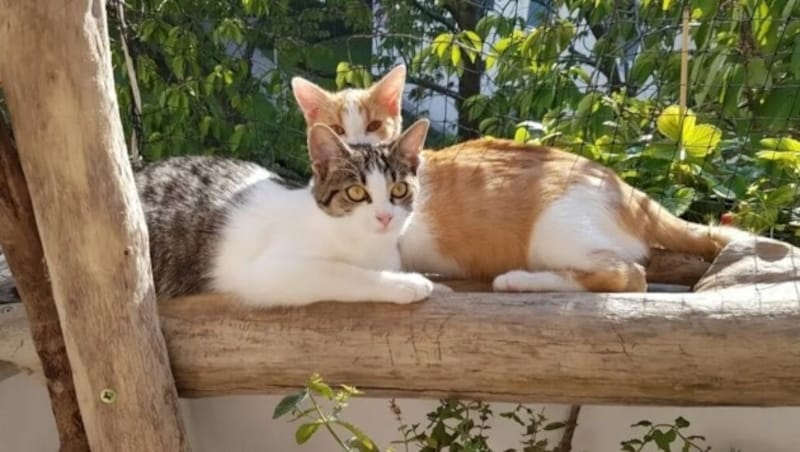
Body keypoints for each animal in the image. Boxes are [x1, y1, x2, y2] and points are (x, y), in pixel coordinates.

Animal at [141, 119, 434, 308]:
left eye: (399, 189)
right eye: (355, 192)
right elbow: (341, 272)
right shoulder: (266, 271)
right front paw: (405, 283)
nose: (385, 217)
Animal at [290, 64, 748, 294]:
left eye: (373, 126)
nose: (354, 146)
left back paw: (519, 280)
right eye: (337, 127)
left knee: (629, 277)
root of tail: (628, 189)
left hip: (552, 233)